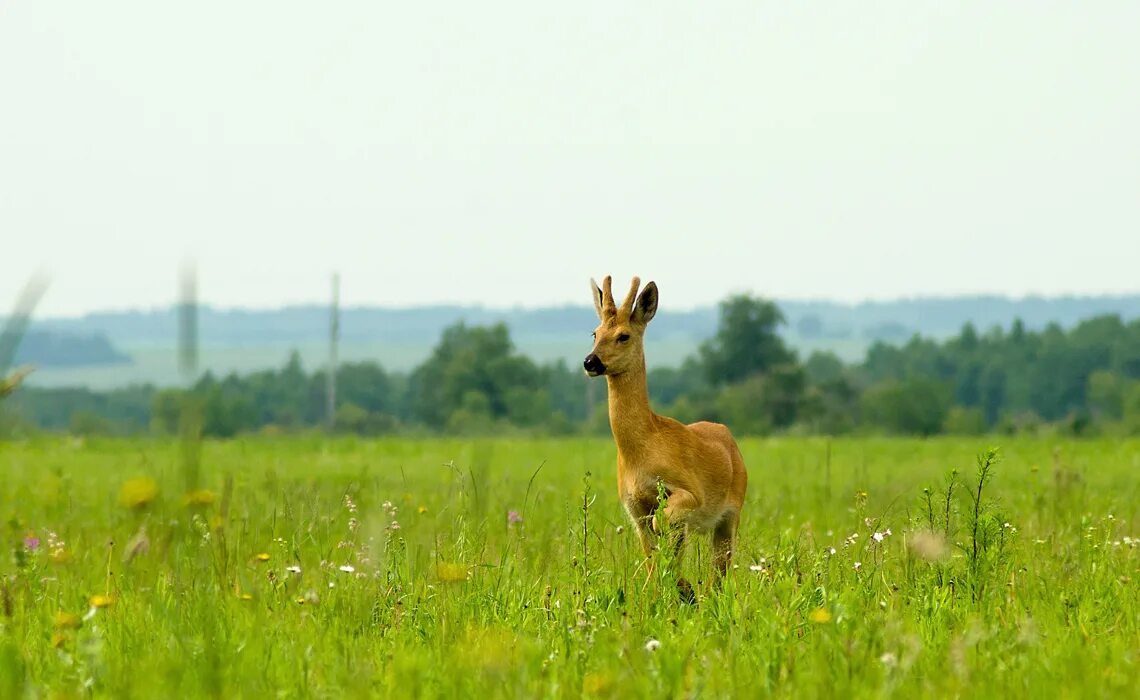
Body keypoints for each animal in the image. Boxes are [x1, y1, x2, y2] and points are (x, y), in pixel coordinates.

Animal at [588, 275, 747, 601]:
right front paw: (667, 593)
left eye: (623, 336)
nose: (590, 361)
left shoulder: (691, 491)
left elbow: (663, 524)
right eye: (594, 332)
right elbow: (652, 562)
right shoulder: (633, 507)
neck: (643, 450)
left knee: (720, 571)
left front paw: (683, 589)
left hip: (731, 513)